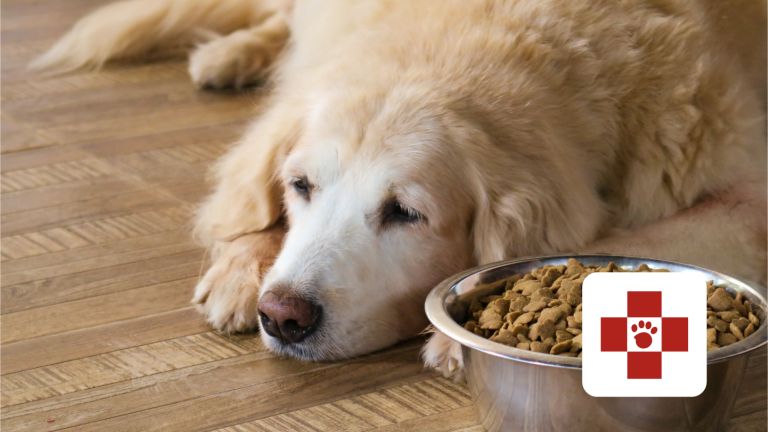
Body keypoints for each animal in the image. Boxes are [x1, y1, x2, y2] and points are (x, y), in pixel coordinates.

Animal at [37, 0, 768, 374]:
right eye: (300, 186)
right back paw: (230, 53)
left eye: (404, 213)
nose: (282, 316)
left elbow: (640, 244)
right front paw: (244, 262)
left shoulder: (742, 193)